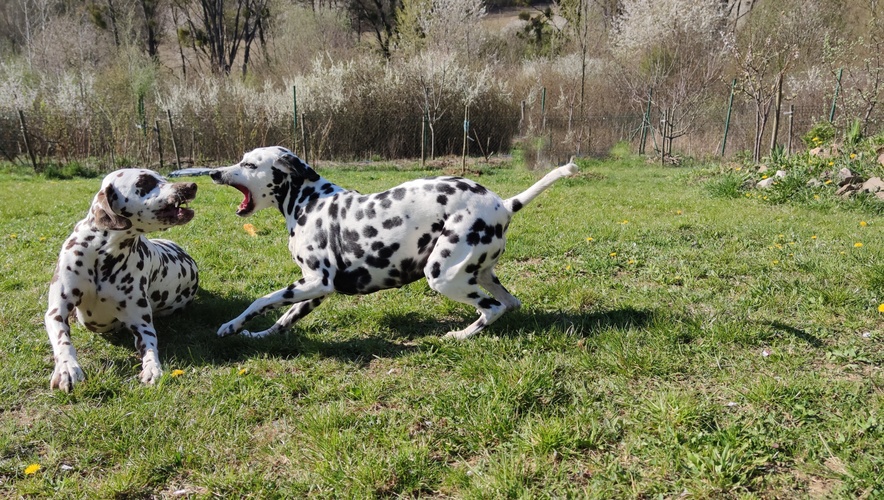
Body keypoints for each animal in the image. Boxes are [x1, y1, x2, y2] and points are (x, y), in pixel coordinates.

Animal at [44, 170, 199, 392]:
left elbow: (150, 346)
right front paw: (67, 368)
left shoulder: (141, 323)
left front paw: (153, 368)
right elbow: (63, 340)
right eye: (145, 181)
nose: (191, 185)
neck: (104, 253)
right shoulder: (57, 311)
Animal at [178, 145, 580, 340]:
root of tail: (504, 204)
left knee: (491, 309)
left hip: (443, 275)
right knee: (509, 303)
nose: (214, 173)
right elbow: (283, 319)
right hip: (480, 274)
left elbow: (260, 301)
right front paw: (258, 335)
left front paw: (232, 326)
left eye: (248, 164)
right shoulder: (314, 290)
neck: (309, 202)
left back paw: (458, 336)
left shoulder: (313, 283)